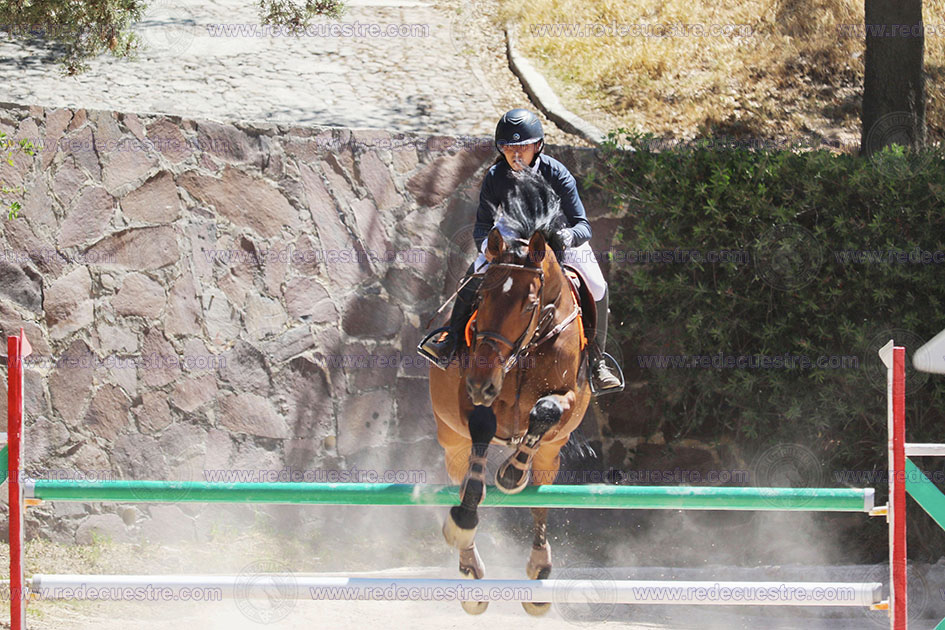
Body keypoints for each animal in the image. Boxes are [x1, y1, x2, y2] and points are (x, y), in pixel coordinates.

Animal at [428, 170, 592, 616]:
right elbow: (484, 427)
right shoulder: (472, 402)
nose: (482, 382)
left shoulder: (568, 399)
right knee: (464, 474)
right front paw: (462, 522)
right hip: (451, 441)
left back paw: (539, 571)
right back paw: (471, 574)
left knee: (541, 498)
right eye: (480, 295)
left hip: (553, 454)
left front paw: (512, 473)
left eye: (530, 303)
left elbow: (545, 411)